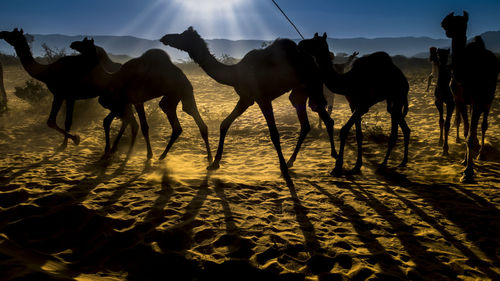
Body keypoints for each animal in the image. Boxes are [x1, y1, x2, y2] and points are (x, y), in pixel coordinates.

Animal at [70, 36, 211, 162]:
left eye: (85, 43)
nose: (73, 44)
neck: (112, 77)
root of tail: (186, 79)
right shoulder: (129, 102)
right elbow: (131, 124)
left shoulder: (132, 101)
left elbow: (139, 126)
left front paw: (148, 154)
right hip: (178, 96)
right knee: (185, 120)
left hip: (179, 93)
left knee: (182, 122)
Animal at [162, 26, 338, 176]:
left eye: (183, 36)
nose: (165, 37)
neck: (234, 73)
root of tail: (313, 61)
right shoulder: (246, 99)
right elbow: (224, 124)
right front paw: (214, 163)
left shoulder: (262, 98)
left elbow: (274, 133)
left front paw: (281, 168)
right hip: (299, 92)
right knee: (309, 122)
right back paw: (293, 161)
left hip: (313, 85)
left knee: (323, 117)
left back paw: (332, 160)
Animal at [296, 32, 410, 175]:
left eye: (315, 41)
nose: (300, 44)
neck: (348, 82)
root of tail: (403, 78)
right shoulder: (353, 105)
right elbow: (358, 134)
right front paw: (357, 166)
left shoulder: (363, 106)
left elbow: (344, 131)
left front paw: (338, 166)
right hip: (392, 101)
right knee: (403, 125)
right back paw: (403, 161)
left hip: (398, 96)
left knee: (394, 132)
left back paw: (383, 165)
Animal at [444, 11, 498, 182]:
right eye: (451, 21)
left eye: (463, 23)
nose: (445, 26)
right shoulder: (459, 100)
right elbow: (466, 131)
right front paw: (464, 162)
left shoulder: (478, 100)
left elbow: (470, 134)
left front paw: (468, 172)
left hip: (488, 97)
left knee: (483, 125)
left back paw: (481, 154)